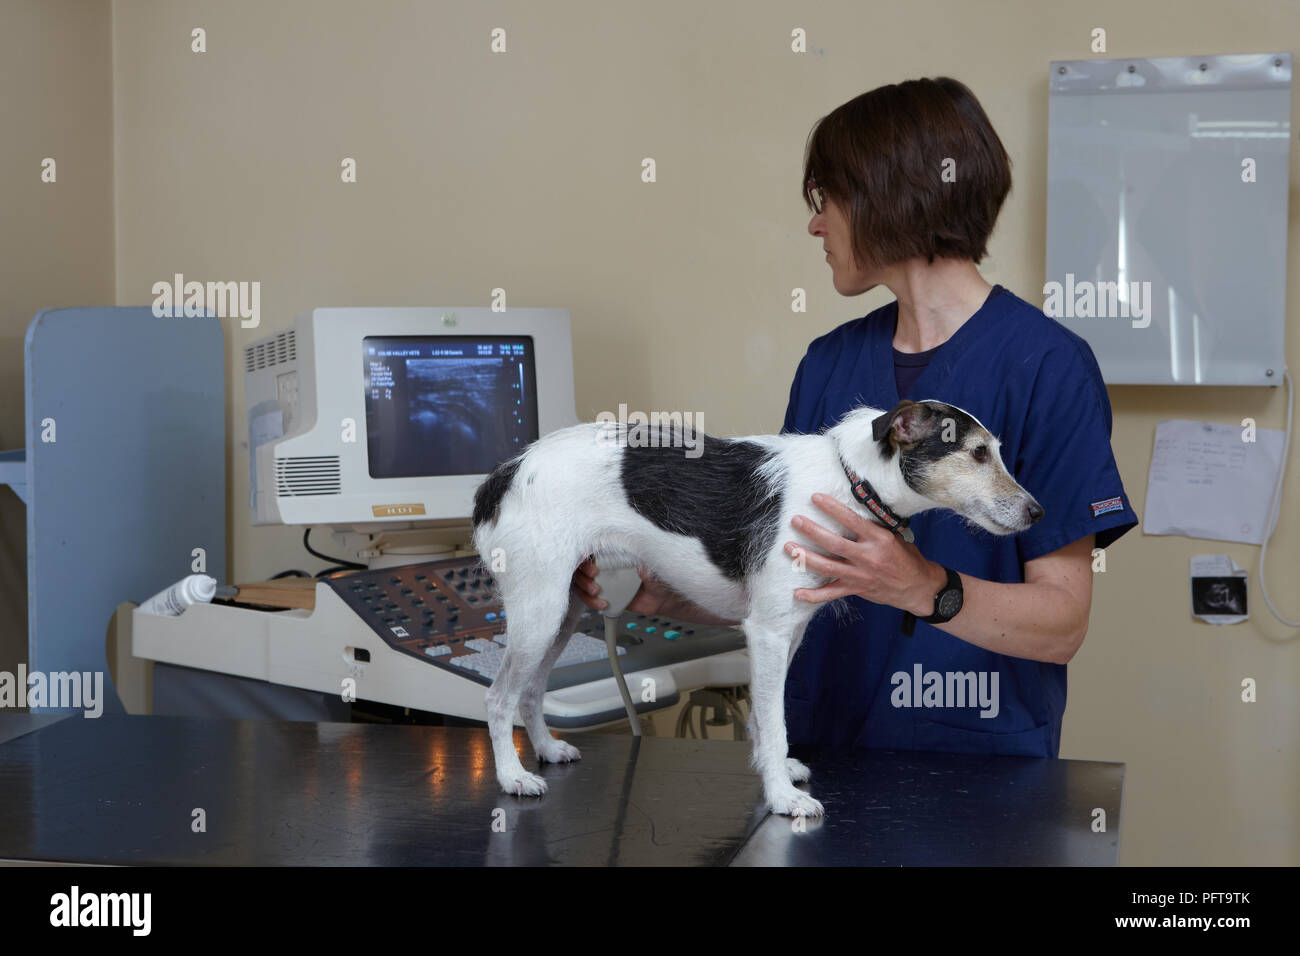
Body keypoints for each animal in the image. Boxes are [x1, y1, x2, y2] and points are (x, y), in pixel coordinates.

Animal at [473, 398, 1040, 816]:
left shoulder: (791, 631)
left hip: (563, 613)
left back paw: (547, 749)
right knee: (500, 698)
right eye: (977, 454)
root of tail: (503, 474)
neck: (851, 481)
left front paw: (778, 770)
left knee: (531, 692)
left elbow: (769, 719)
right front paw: (783, 797)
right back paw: (512, 776)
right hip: (540, 610)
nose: (1038, 512)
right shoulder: (767, 631)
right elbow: (775, 718)